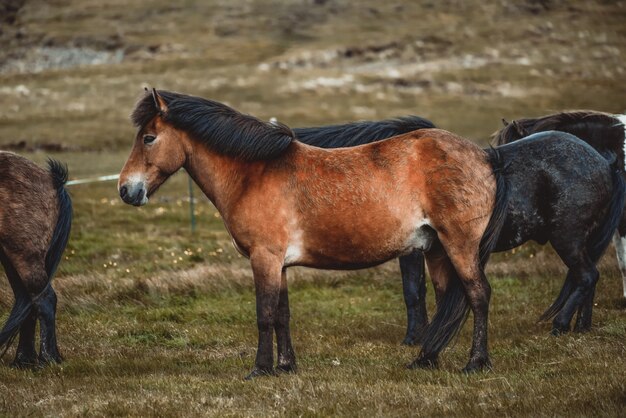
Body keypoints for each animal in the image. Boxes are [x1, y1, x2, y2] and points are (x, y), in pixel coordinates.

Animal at [0, 152, 72, 368]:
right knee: (27, 300)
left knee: (44, 299)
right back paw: (23, 360)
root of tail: (52, 180)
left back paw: (47, 359)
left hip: (24, 255)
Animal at [117, 90, 508, 378]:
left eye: (149, 137)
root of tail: (484, 156)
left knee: (478, 294)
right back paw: (426, 360)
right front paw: (286, 366)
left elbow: (264, 314)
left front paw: (260, 369)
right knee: (447, 300)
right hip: (436, 248)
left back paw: (475, 363)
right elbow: (282, 314)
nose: (126, 190)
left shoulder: (264, 258)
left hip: (459, 245)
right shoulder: (279, 264)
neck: (253, 174)